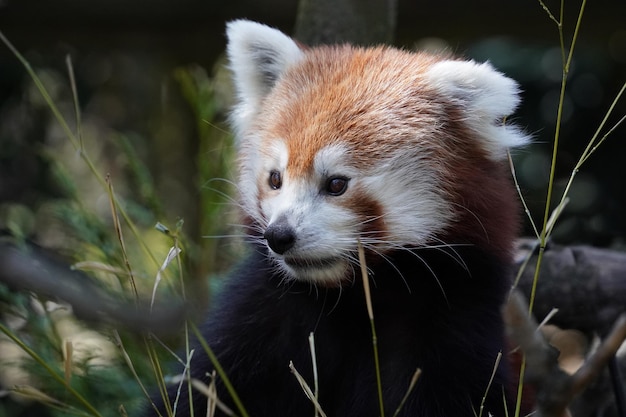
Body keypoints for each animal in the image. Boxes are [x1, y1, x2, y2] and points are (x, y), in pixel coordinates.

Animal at [145, 19, 528, 416]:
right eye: (275, 179)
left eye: (336, 184)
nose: (279, 236)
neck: (348, 299)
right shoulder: (261, 318)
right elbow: (200, 388)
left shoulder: (452, 326)